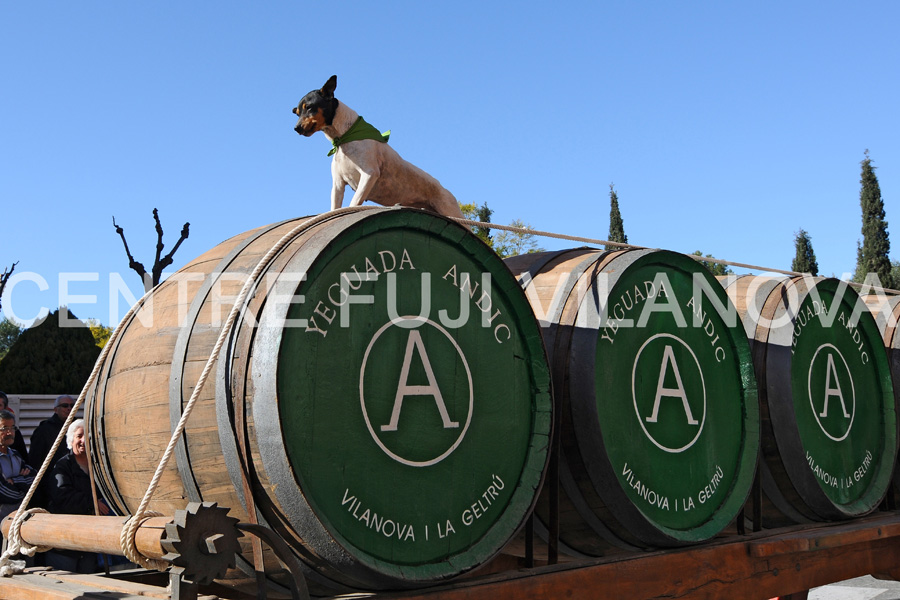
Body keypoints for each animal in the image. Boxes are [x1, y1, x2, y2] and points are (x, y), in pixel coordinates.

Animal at [294, 75, 464, 220]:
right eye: (297, 112)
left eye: (309, 107)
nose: (296, 128)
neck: (344, 138)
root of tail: (447, 192)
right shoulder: (338, 184)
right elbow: (334, 208)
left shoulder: (370, 173)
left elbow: (353, 202)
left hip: (451, 211)